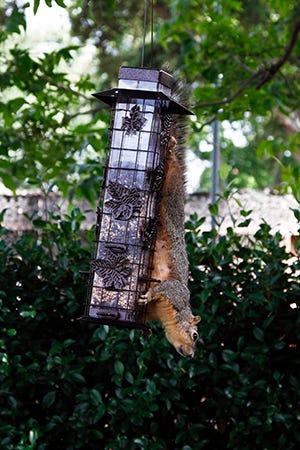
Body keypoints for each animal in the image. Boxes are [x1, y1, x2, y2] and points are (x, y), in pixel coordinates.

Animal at [139, 135, 200, 356]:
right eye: (195, 335)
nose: (191, 355)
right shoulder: (177, 293)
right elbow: (165, 287)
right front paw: (149, 294)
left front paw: (146, 331)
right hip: (172, 190)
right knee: (172, 169)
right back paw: (171, 149)